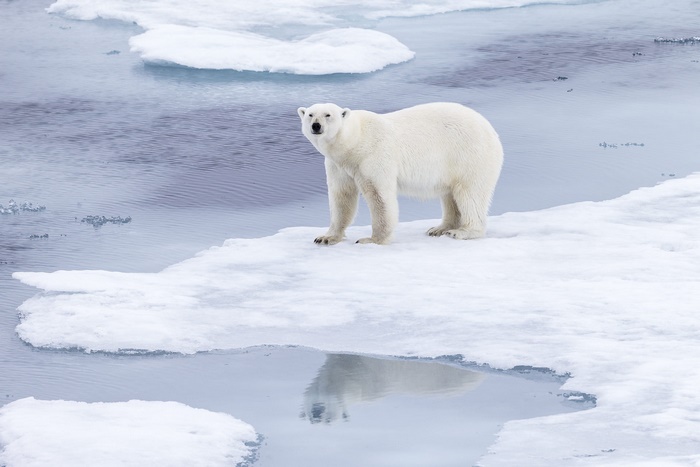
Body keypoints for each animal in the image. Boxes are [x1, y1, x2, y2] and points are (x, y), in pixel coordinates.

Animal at [297, 102, 503, 245]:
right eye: (310, 114)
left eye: (328, 114)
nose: (316, 126)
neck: (355, 141)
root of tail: (492, 132)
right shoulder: (339, 165)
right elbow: (342, 197)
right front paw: (326, 237)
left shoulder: (373, 156)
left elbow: (379, 197)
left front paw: (372, 240)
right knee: (450, 195)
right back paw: (439, 228)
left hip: (469, 157)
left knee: (469, 194)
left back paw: (461, 231)